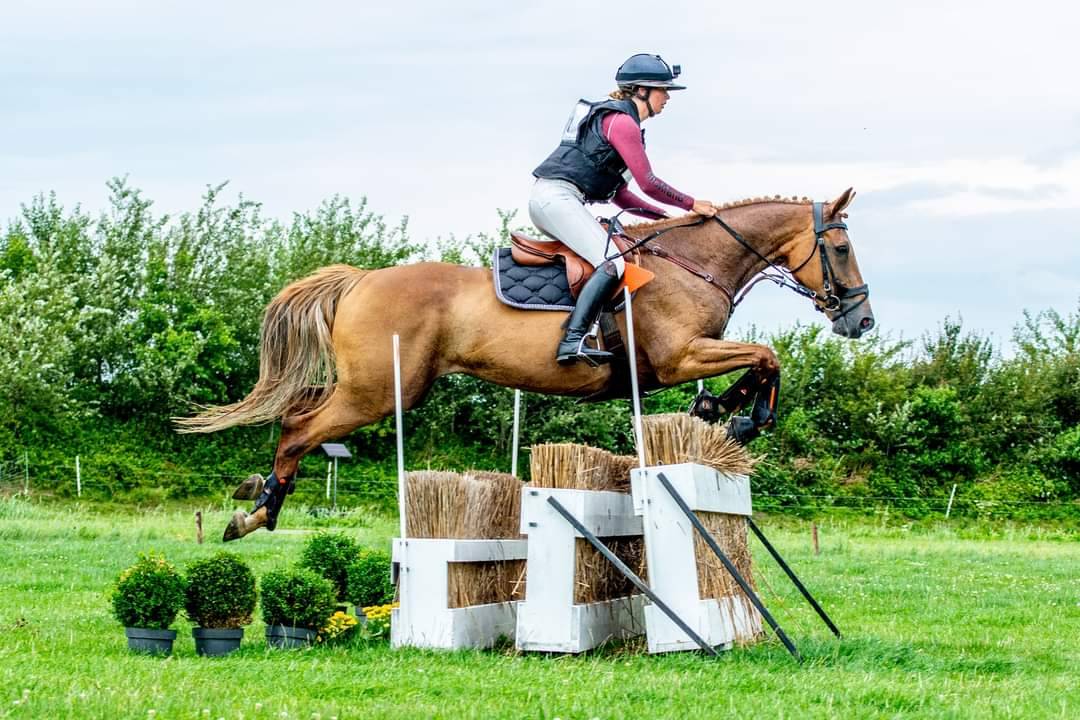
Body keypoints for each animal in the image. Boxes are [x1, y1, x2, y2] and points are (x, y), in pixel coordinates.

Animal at [176, 188, 874, 541]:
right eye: (841, 248)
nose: (860, 322)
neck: (692, 262)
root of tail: (361, 279)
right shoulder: (675, 359)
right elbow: (768, 357)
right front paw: (743, 418)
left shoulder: (678, 364)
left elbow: (757, 363)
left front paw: (719, 410)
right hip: (382, 391)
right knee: (300, 426)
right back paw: (256, 512)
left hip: (373, 386)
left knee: (298, 413)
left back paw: (256, 499)